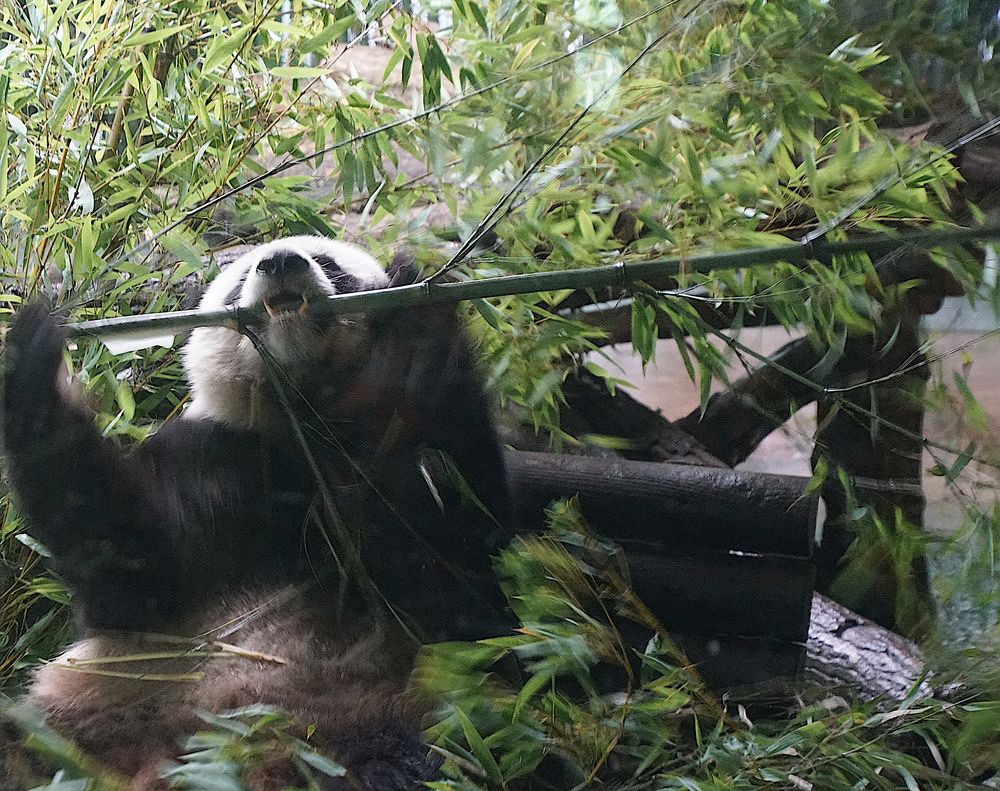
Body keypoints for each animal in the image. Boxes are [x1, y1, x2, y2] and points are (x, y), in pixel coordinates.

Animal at [0, 237, 512, 791]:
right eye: (243, 275)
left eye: (328, 262)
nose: (281, 262)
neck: (298, 418)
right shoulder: (212, 458)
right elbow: (126, 569)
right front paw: (32, 358)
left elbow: (454, 553)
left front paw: (415, 322)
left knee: (427, 749)